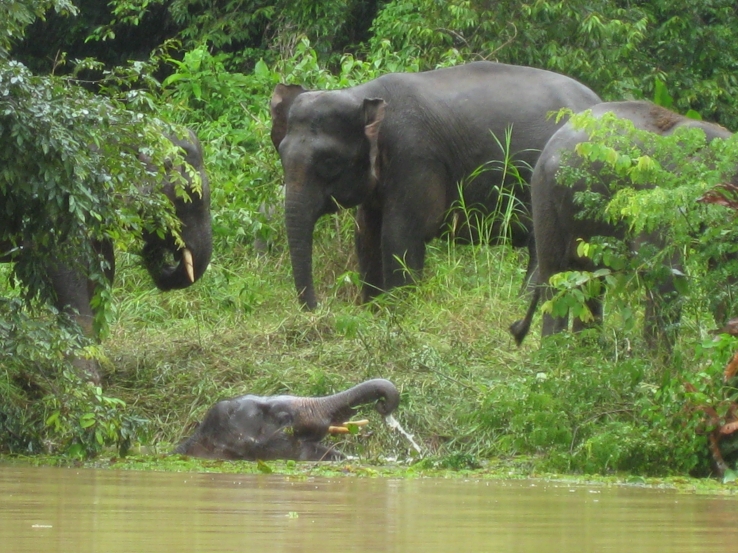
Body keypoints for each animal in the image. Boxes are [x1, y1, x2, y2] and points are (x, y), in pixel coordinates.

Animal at [270, 61, 601, 308]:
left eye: (329, 162)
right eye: (281, 154)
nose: (319, 307)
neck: (362, 95)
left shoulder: (415, 156)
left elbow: (401, 235)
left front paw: (398, 313)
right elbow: (366, 236)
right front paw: (374, 311)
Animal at [509, 100, 734, 347]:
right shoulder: (656, 194)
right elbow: (662, 270)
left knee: (592, 279)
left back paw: (588, 349)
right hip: (544, 198)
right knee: (556, 276)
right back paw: (555, 350)